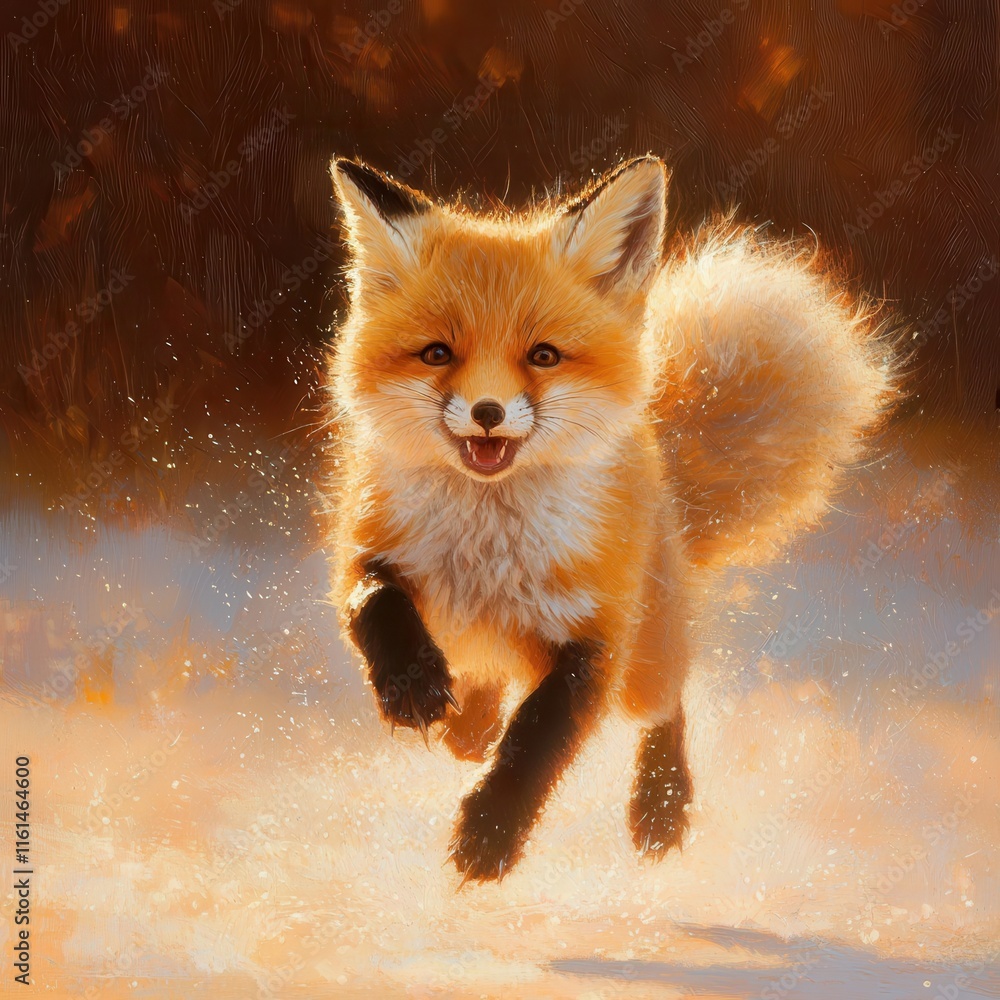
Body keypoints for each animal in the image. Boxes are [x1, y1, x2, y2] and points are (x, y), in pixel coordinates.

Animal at [325, 154, 896, 884]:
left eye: (543, 355)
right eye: (436, 354)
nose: (487, 411)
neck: (487, 552)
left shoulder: (595, 637)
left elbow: (538, 738)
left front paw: (491, 832)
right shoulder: (366, 553)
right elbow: (375, 602)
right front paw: (413, 685)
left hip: (644, 659)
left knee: (664, 704)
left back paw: (661, 805)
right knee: (481, 704)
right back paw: (470, 722)